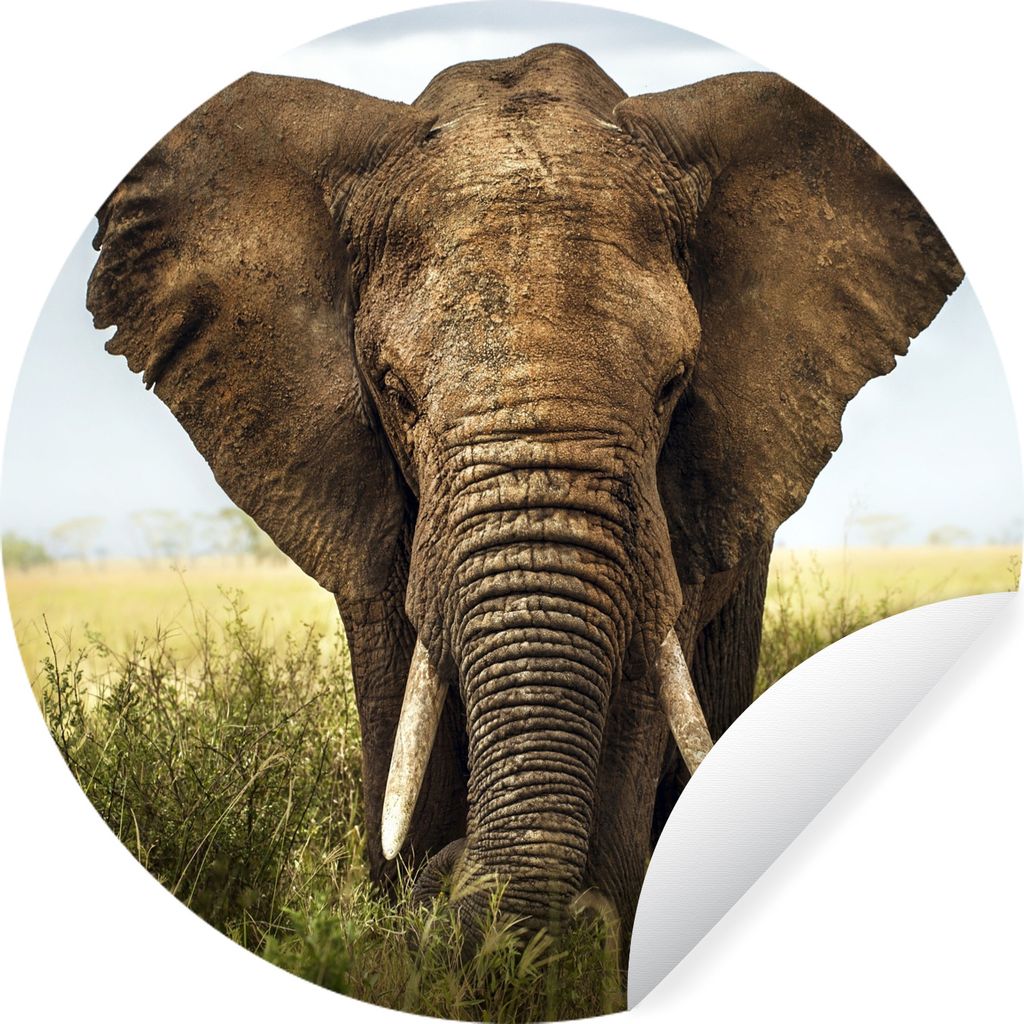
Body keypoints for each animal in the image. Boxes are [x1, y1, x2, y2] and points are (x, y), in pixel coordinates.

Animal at [86, 44, 961, 953]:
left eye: (673, 385)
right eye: (395, 393)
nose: (450, 877)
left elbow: (644, 672)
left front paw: (584, 934)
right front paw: (418, 903)